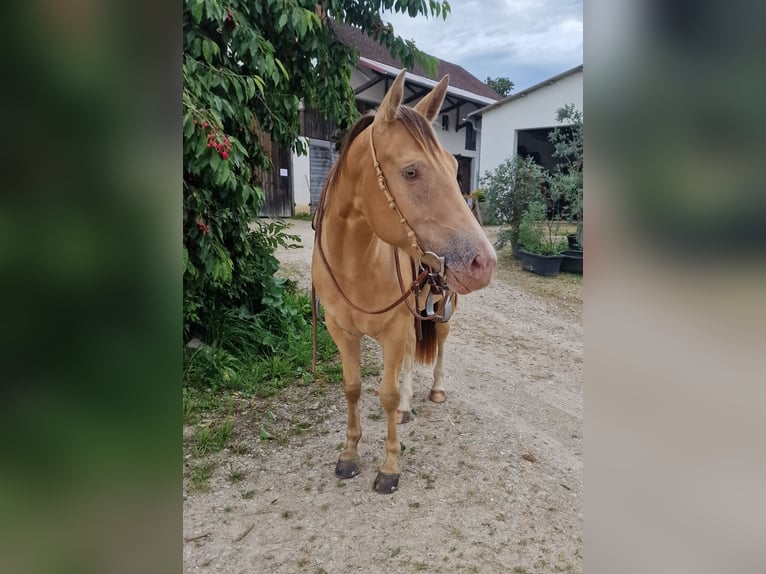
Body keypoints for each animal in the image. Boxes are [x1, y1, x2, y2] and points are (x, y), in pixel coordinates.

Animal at [312, 71, 498, 496]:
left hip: (442, 308)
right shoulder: (341, 330)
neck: (354, 263)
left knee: (439, 344)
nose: (484, 262)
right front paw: (349, 455)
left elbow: (387, 392)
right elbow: (353, 387)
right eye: (411, 172)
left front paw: (389, 468)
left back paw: (435, 391)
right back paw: (409, 406)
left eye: (454, 165)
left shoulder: (393, 330)